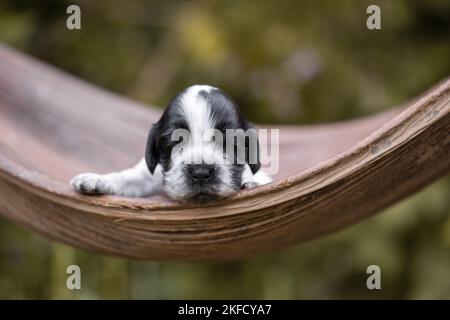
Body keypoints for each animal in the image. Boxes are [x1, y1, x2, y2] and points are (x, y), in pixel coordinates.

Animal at [71, 84, 270, 201]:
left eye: (230, 143)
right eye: (176, 142)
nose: (201, 173)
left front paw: (251, 184)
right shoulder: (148, 175)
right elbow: (128, 178)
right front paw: (95, 180)